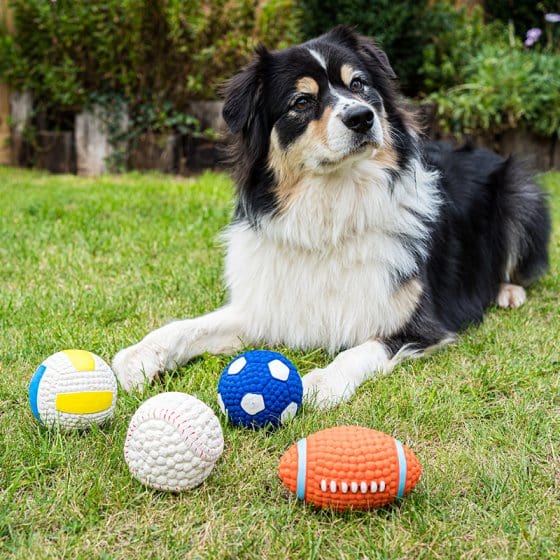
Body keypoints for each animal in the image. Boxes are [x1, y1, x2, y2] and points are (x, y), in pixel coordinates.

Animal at [111, 25, 548, 406]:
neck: (332, 209)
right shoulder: (266, 304)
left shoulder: (419, 323)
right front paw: (139, 356)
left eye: (358, 85)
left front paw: (320, 382)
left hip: (521, 191)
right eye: (302, 102)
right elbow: (188, 326)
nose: (361, 117)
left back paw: (508, 291)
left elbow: (359, 351)